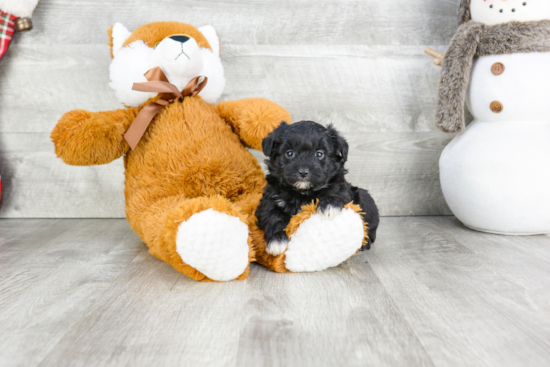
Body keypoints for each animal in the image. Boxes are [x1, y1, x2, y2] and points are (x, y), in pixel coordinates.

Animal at [258, 121, 380, 256]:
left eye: (319, 154)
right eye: (289, 153)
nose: (303, 172)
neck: (302, 193)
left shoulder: (342, 189)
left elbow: (337, 193)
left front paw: (329, 205)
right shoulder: (270, 200)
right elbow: (273, 216)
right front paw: (276, 240)